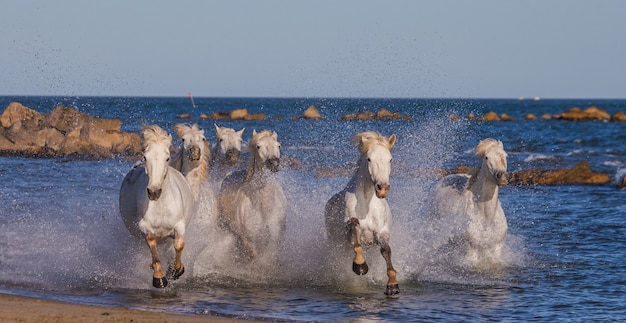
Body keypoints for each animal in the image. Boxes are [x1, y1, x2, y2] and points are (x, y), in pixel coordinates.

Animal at [118, 125, 194, 290]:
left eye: (167, 158)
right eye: (146, 157)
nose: (153, 192)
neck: (161, 205)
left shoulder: (179, 225)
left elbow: (179, 245)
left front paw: (176, 270)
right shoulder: (145, 226)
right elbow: (152, 243)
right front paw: (159, 277)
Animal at [217, 130, 286, 262]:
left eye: (279, 145)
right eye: (258, 146)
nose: (274, 163)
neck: (263, 209)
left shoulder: (275, 241)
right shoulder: (249, 242)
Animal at [324, 131, 398, 296]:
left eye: (390, 159)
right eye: (369, 159)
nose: (382, 188)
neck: (367, 203)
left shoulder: (381, 232)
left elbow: (386, 251)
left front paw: (392, 284)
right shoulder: (349, 227)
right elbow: (355, 234)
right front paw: (360, 266)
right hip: (336, 243)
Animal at [432, 139, 510, 268]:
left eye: (505, 156)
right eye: (486, 157)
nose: (501, 176)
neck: (487, 218)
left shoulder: (497, 248)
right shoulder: (471, 250)